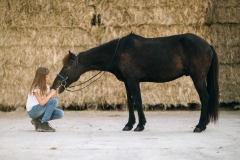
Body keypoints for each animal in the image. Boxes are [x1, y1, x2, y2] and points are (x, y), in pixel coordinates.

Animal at [51, 32, 218, 132]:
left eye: (67, 66)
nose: (55, 85)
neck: (118, 52)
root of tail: (207, 45)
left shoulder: (133, 81)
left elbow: (138, 100)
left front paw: (140, 125)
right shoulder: (127, 82)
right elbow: (130, 102)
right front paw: (129, 124)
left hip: (197, 77)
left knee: (205, 97)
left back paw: (200, 126)